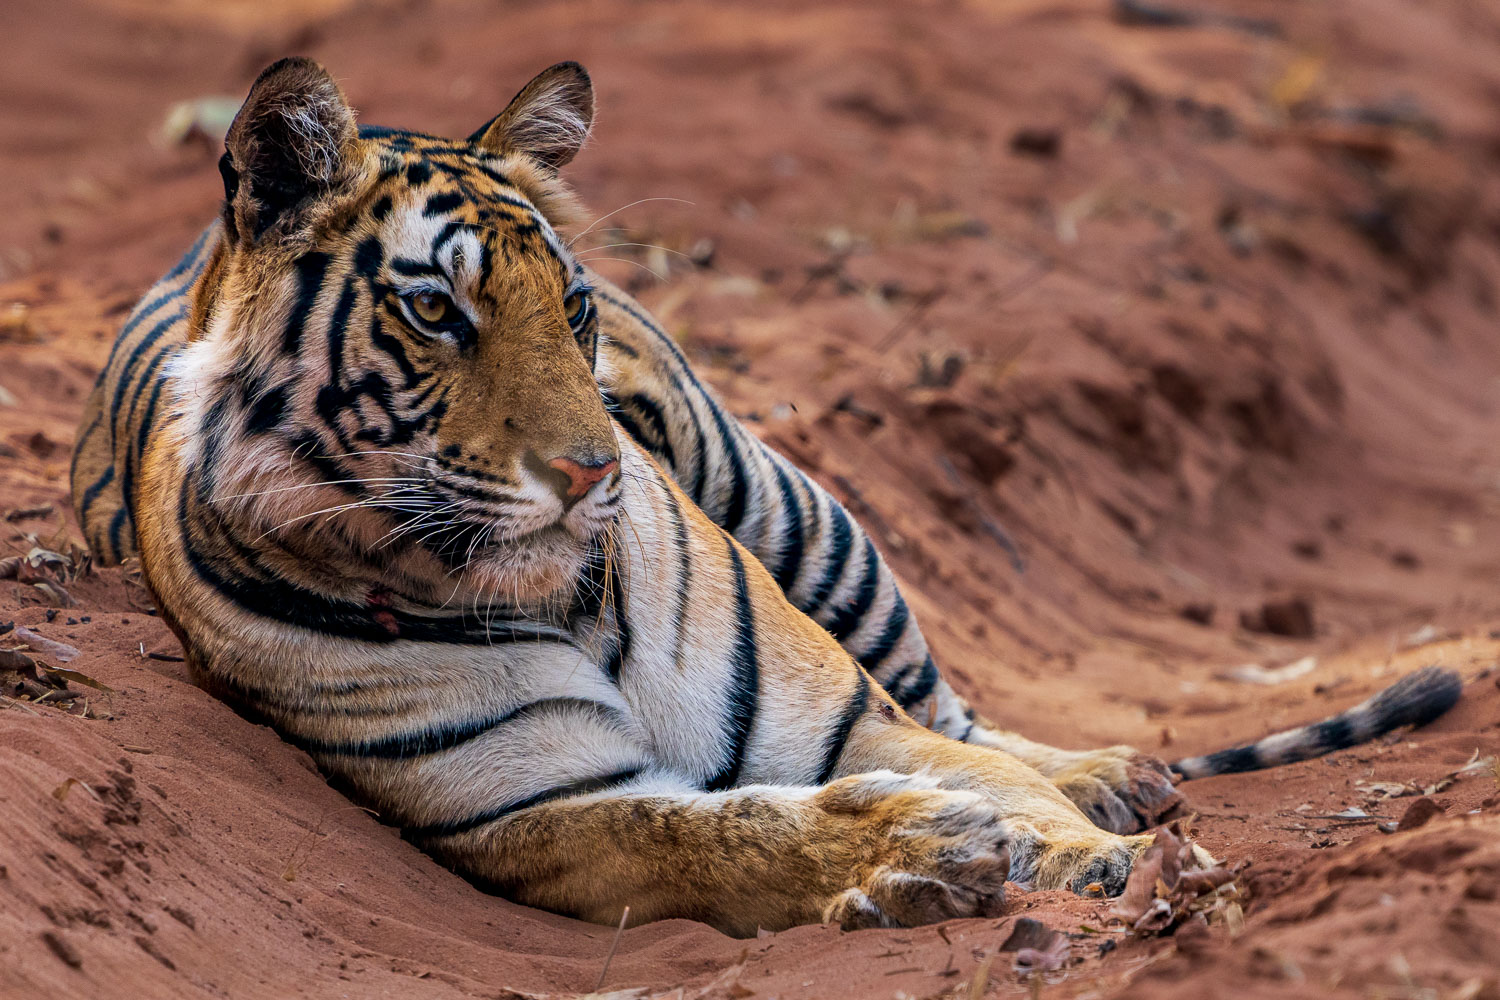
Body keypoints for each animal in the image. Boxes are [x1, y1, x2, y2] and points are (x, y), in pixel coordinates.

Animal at [69, 57, 1462, 935]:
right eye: (435, 311)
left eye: (569, 307)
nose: (597, 473)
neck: (572, 603)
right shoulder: (537, 804)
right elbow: (719, 832)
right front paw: (911, 858)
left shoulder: (850, 721)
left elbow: (989, 776)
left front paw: (1107, 853)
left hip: (801, 510)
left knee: (961, 707)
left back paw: (1122, 775)